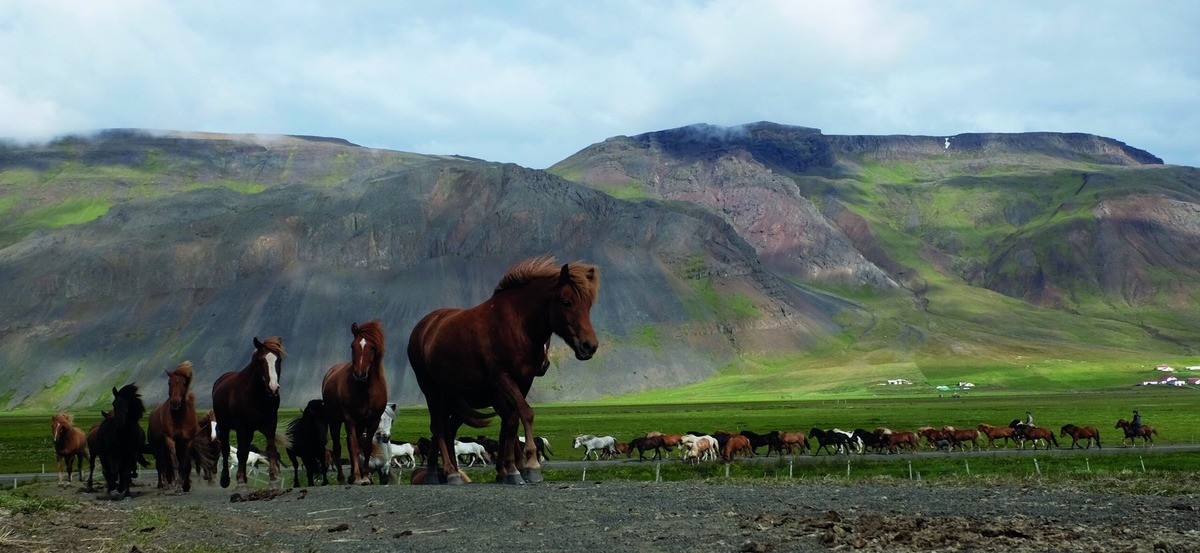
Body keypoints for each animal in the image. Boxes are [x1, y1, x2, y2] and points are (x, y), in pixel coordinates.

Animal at [147, 359, 199, 494]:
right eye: (169, 383)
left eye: (184, 383)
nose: (175, 403)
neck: (180, 417)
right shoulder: (170, 439)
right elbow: (175, 462)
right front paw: (177, 486)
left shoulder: (187, 441)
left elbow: (184, 463)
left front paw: (184, 484)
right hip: (157, 447)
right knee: (160, 464)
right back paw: (163, 484)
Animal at [211, 333, 285, 489]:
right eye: (261, 361)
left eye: (279, 360)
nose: (273, 388)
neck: (257, 396)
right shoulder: (241, 427)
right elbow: (241, 452)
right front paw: (239, 481)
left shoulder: (271, 423)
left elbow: (271, 449)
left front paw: (273, 478)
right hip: (224, 426)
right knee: (226, 449)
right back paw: (226, 479)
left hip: (249, 431)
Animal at [321, 319, 386, 482]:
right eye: (353, 346)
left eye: (372, 347)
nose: (360, 374)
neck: (366, 390)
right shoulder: (349, 418)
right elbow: (353, 445)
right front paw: (357, 476)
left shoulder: (374, 420)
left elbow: (366, 446)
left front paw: (365, 475)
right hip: (335, 420)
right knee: (339, 446)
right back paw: (343, 477)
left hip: (361, 423)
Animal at [408, 254, 600, 482]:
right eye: (567, 302)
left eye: (588, 306)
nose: (589, 346)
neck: (516, 325)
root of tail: (424, 325)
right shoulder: (502, 379)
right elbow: (525, 413)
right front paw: (531, 466)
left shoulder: (523, 381)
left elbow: (512, 420)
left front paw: (511, 470)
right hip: (430, 389)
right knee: (438, 425)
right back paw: (447, 472)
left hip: (450, 395)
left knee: (446, 429)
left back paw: (442, 471)